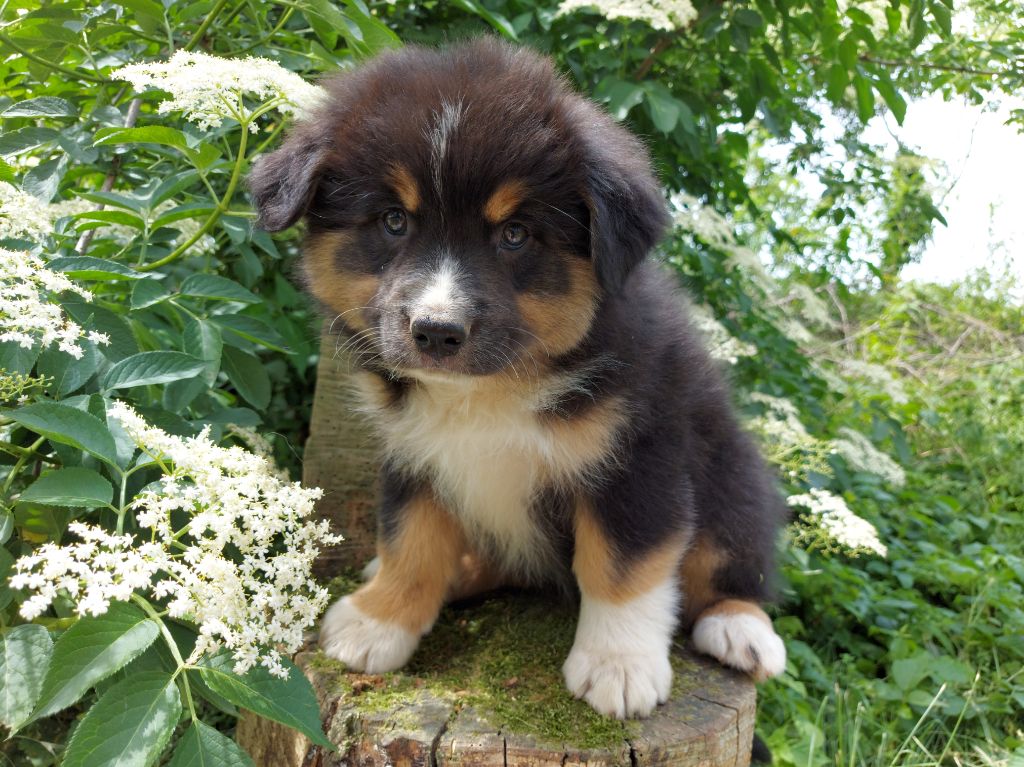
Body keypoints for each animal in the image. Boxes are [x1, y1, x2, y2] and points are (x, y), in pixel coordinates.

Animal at [249, 38, 787, 720]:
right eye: (394, 221)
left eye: (514, 234)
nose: (437, 332)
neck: (489, 391)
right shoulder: (413, 451)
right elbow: (410, 538)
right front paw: (380, 621)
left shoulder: (638, 455)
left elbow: (622, 564)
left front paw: (618, 666)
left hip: (733, 477)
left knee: (732, 563)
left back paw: (740, 629)